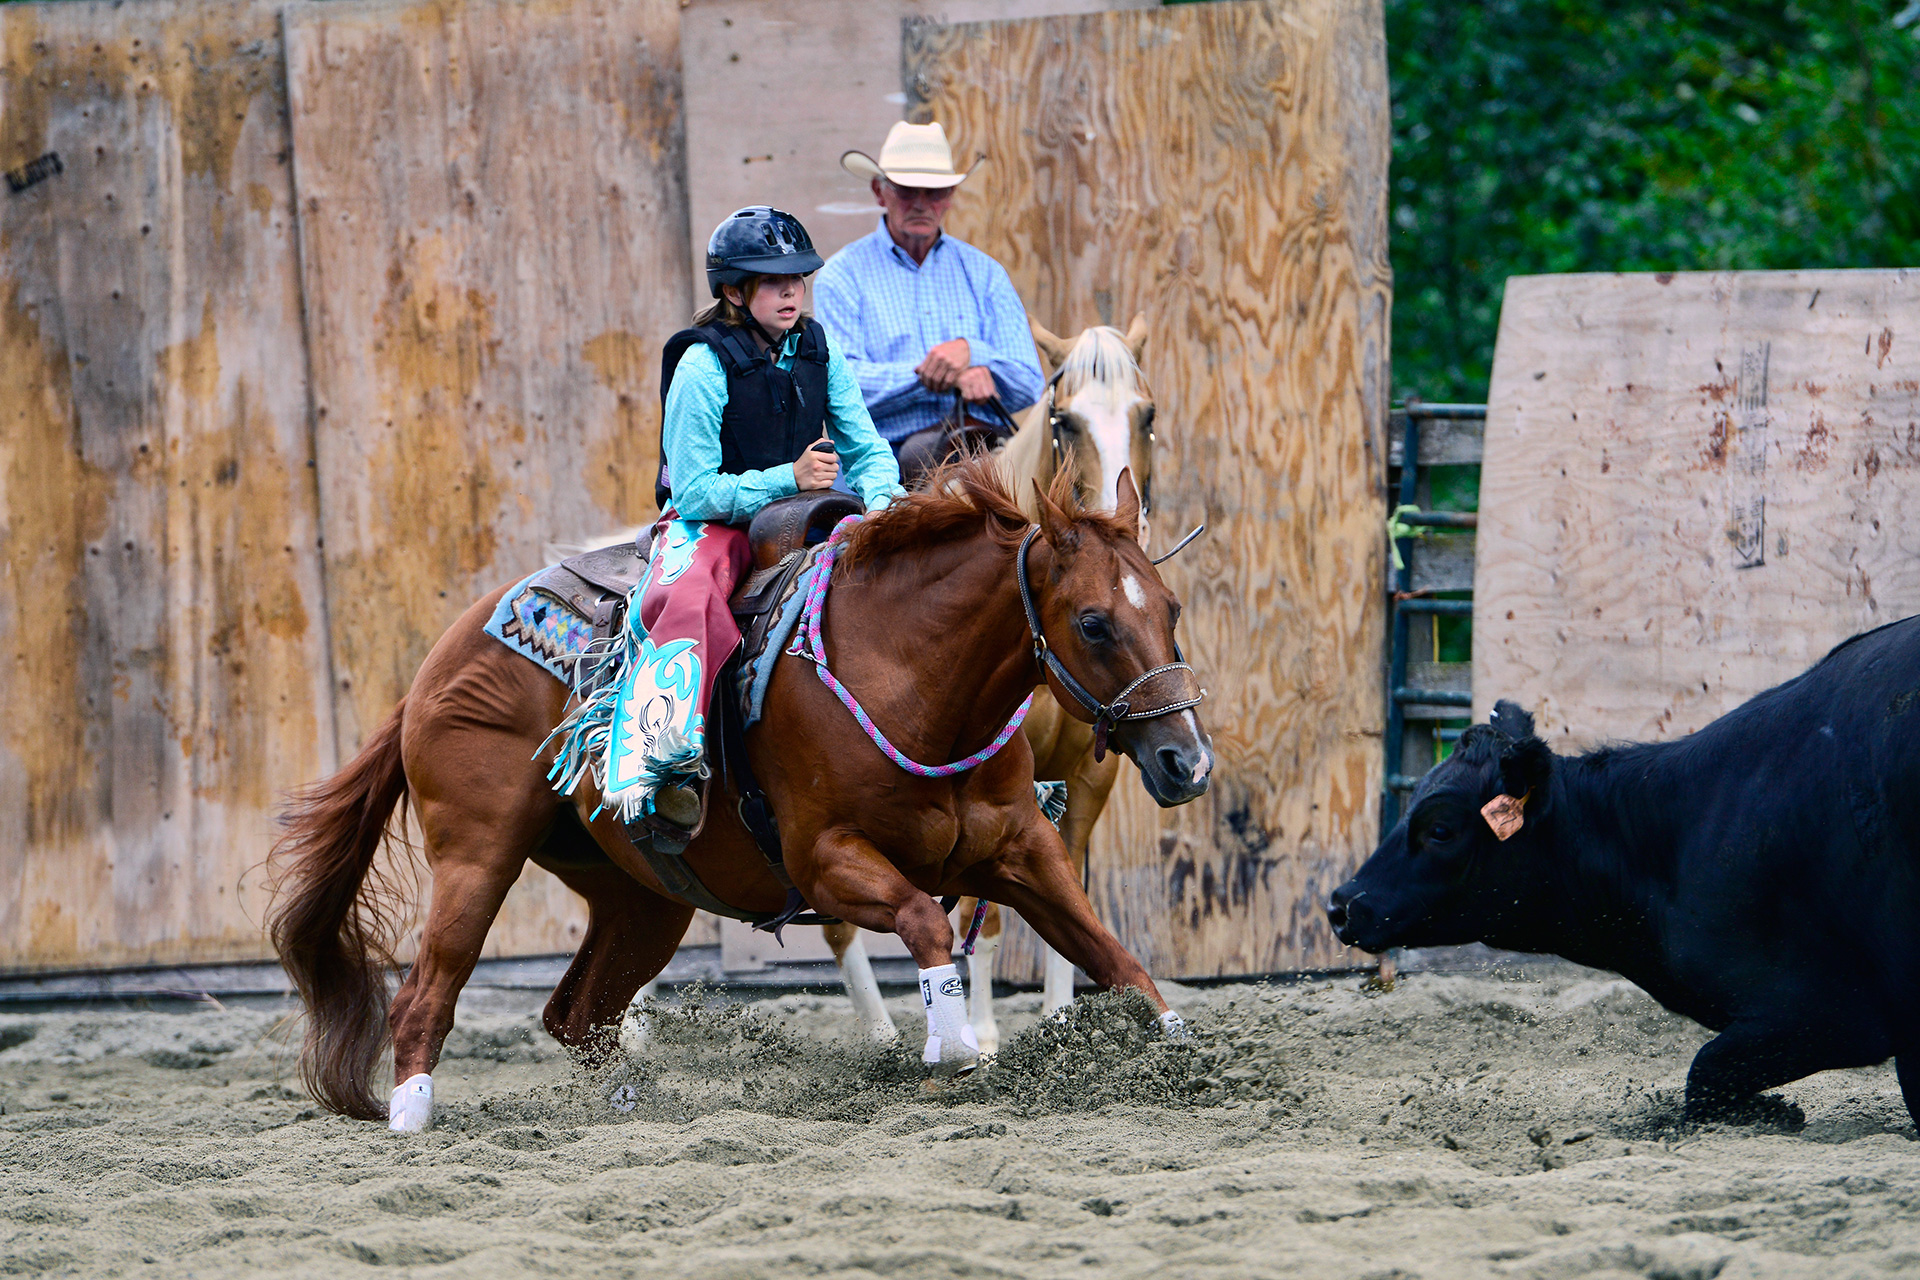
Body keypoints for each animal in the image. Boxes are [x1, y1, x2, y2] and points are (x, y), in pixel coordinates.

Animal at [269, 455, 1212, 1130]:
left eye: (1170, 608)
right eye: (1093, 623)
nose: (1187, 762)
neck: (910, 676)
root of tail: (437, 665)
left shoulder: (1022, 852)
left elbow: (1113, 956)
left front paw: (1177, 1049)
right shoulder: (828, 862)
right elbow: (923, 918)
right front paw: (949, 1043)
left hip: (642, 900)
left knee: (577, 1013)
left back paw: (626, 1106)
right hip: (477, 856)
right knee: (427, 993)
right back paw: (411, 1117)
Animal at [823, 315, 1162, 1052]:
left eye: (1146, 414)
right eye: (1064, 420)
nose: (1111, 526)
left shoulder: (1088, 775)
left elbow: (1070, 887)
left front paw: (1061, 1015)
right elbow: (986, 906)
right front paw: (980, 1029)